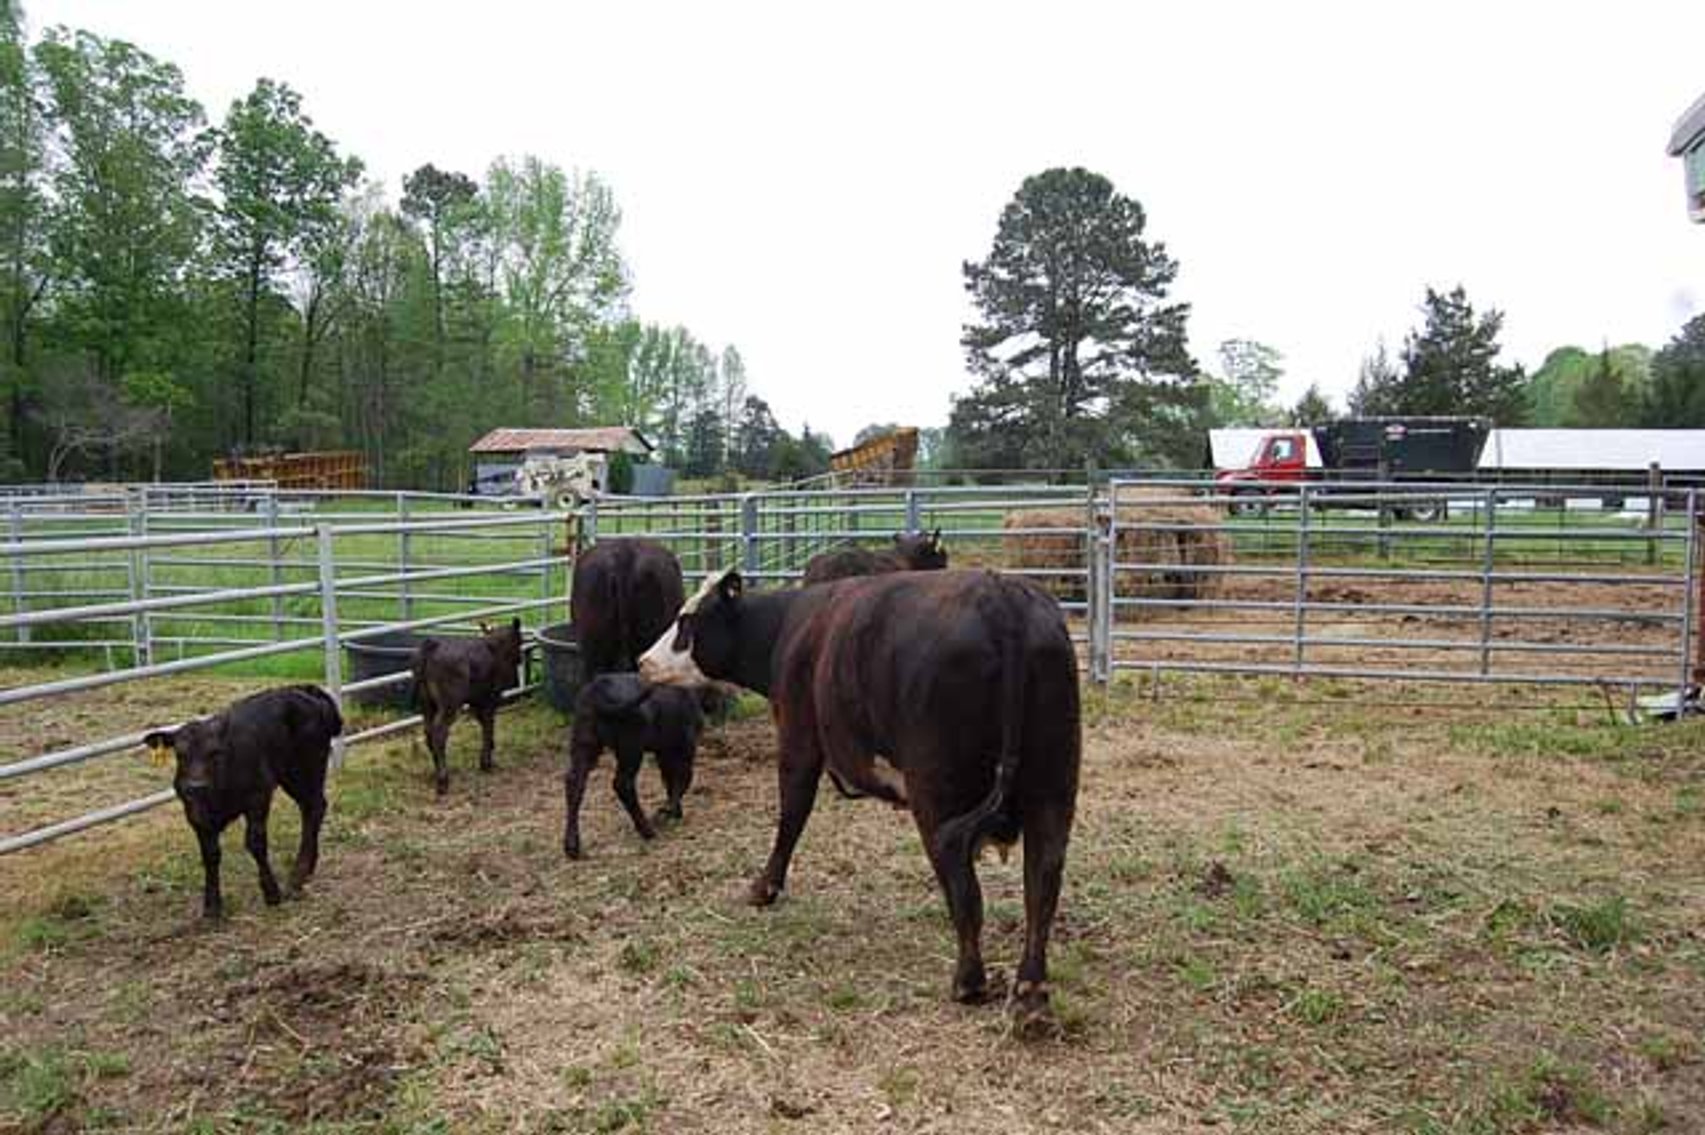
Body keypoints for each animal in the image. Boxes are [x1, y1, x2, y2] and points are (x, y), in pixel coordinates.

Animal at [142, 685, 342, 920]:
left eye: (215, 752)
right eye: (180, 754)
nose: (196, 786)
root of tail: (303, 690)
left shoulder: (258, 796)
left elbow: (255, 843)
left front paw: (271, 893)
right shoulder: (194, 812)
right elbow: (210, 854)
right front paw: (212, 906)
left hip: (307, 767)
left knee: (315, 807)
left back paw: (297, 876)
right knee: (309, 808)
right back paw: (307, 868)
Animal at [411, 618, 524, 796]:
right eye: (520, 640)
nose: (521, 659)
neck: (494, 647)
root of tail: (433, 644)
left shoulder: (476, 701)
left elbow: (484, 724)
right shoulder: (491, 699)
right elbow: (488, 726)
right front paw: (486, 763)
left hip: (427, 704)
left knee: (428, 732)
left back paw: (436, 771)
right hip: (449, 705)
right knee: (439, 732)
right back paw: (443, 780)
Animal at [562, 673, 706, 860]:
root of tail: (599, 688)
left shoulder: (664, 753)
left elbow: (669, 781)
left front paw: (672, 811)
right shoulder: (685, 750)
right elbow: (681, 781)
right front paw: (669, 811)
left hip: (585, 743)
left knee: (574, 783)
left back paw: (571, 846)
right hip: (631, 748)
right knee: (623, 784)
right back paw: (647, 830)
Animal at [639, 568, 1080, 1023]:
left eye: (686, 622)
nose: (642, 661)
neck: (791, 625)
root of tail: (1002, 596)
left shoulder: (798, 738)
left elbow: (792, 814)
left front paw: (764, 887)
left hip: (936, 795)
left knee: (964, 882)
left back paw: (969, 982)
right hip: (1052, 791)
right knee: (1042, 883)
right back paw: (1029, 993)